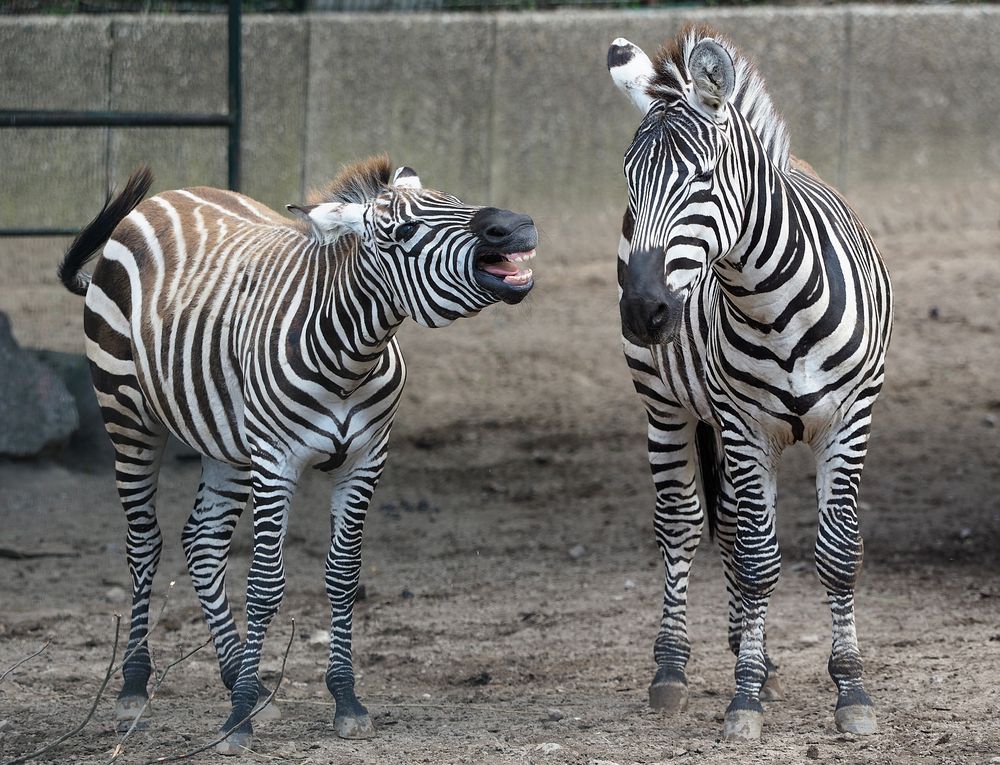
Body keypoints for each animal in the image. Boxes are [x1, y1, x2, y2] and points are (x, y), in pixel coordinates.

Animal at [57, 157, 536, 752]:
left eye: (456, 201)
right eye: (402, 231)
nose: (516, 227)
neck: (351, 355)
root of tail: (170, 195)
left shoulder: (365, 462)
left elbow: (343, 575)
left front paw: (345, 700)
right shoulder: (277, 464)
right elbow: (265, 585)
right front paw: (237, 718)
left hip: (226, 442)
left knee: (203, 543)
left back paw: (241, 677)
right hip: (128, 413)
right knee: (145, 542)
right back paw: (134, 688)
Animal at [604, 26, 896, 736]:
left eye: (702, 177)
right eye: (628, 180)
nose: (645, 312)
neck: (772, 303)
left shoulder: (850, 418)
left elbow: (838, 553)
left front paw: (851, 690)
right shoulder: (741, 424)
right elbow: (761, 562)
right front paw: (745, 700)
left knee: (734, 525)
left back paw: (750, 651)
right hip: (665, 406)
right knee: (685, 524)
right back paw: (674, 669)